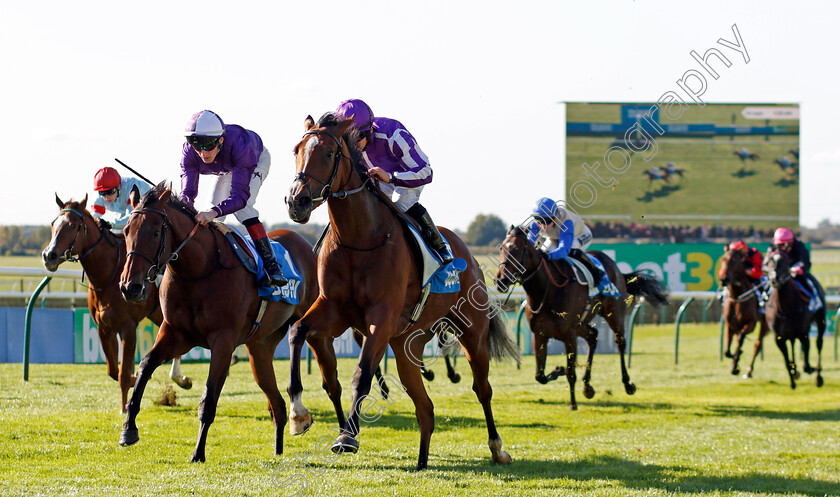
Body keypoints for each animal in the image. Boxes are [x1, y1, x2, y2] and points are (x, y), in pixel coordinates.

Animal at [286, 113, 520, 468]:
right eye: (297, 150)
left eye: (328, 153)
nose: (296, 201)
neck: (359, 240)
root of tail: (469, 257)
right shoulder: (333, 310)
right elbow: (298, 331)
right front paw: (298, 414)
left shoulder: (380, 320)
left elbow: (362, 374)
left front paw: (347, 437)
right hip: (407, 344)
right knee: (425, 407)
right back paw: (422, 461)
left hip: (472, 334)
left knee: (482, 388)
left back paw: (497, 447)